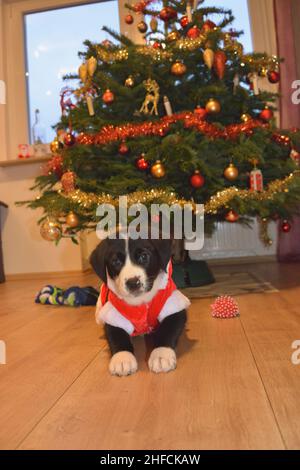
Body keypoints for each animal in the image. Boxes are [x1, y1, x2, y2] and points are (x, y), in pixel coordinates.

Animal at [90, 237, 191, 376]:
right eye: (116, 262)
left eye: (144, 256)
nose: (133, 282)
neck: (141, 301)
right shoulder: (113, 313)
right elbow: (116, 335)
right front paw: (122, 358)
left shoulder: (173, 307)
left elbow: (168, 330)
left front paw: (161, 355)